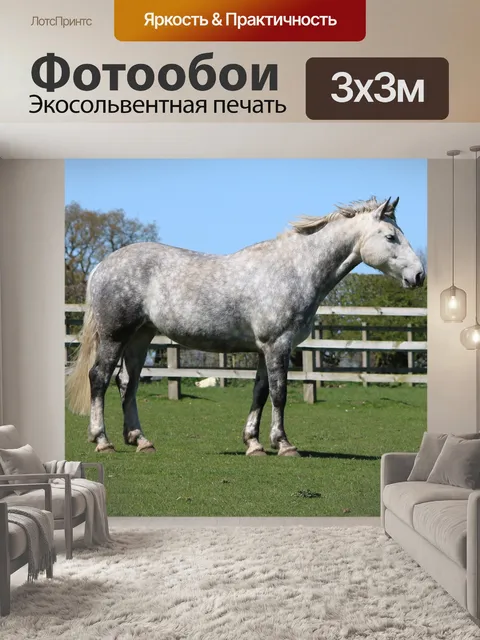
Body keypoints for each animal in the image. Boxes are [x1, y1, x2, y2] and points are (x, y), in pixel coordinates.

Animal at [66, 196, 425, 456]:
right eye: (391, 236)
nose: (419, 275)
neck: (294, 270)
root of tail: (102, 265)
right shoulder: (277, 345)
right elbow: (279, 394)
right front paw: (284, 444)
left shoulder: (266, 348)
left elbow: (261, 392)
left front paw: (253, 443)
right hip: (115, 336)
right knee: (99, 378)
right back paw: (103, 440)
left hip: (140, 339)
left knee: (127, 383)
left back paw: (140, 440)